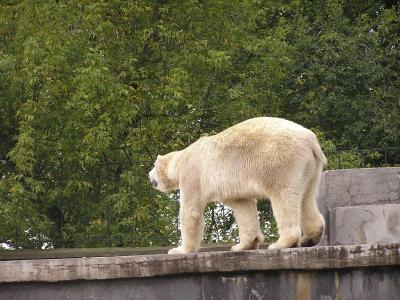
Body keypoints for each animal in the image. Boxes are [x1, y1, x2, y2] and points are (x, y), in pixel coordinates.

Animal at [148, 116, 326, 253]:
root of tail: (311, 140)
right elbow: (244, 207)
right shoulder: (233, 189)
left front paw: (179, 250)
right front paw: (242, 246)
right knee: (306, 198)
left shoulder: (193, 174)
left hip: (281, 162)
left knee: (283, 197)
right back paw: (310, 238)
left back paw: (281, 243)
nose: (149, 175)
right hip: (310, 168)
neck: (180, 159)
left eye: (154, 166)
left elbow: (191, 212)